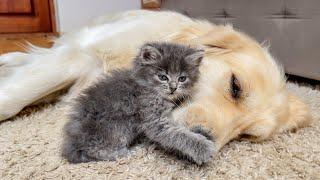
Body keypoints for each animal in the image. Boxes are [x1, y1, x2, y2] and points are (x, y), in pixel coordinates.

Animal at [61, 41, 215, 165]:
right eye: (163, 77)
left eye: (182, 78)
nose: (173, 88)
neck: (148, 87)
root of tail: (72, 143)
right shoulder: (153, 119)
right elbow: (179, 135)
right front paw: (203, 147)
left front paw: (201, 131)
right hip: (115, 127)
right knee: (96, 151)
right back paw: (128, 152)